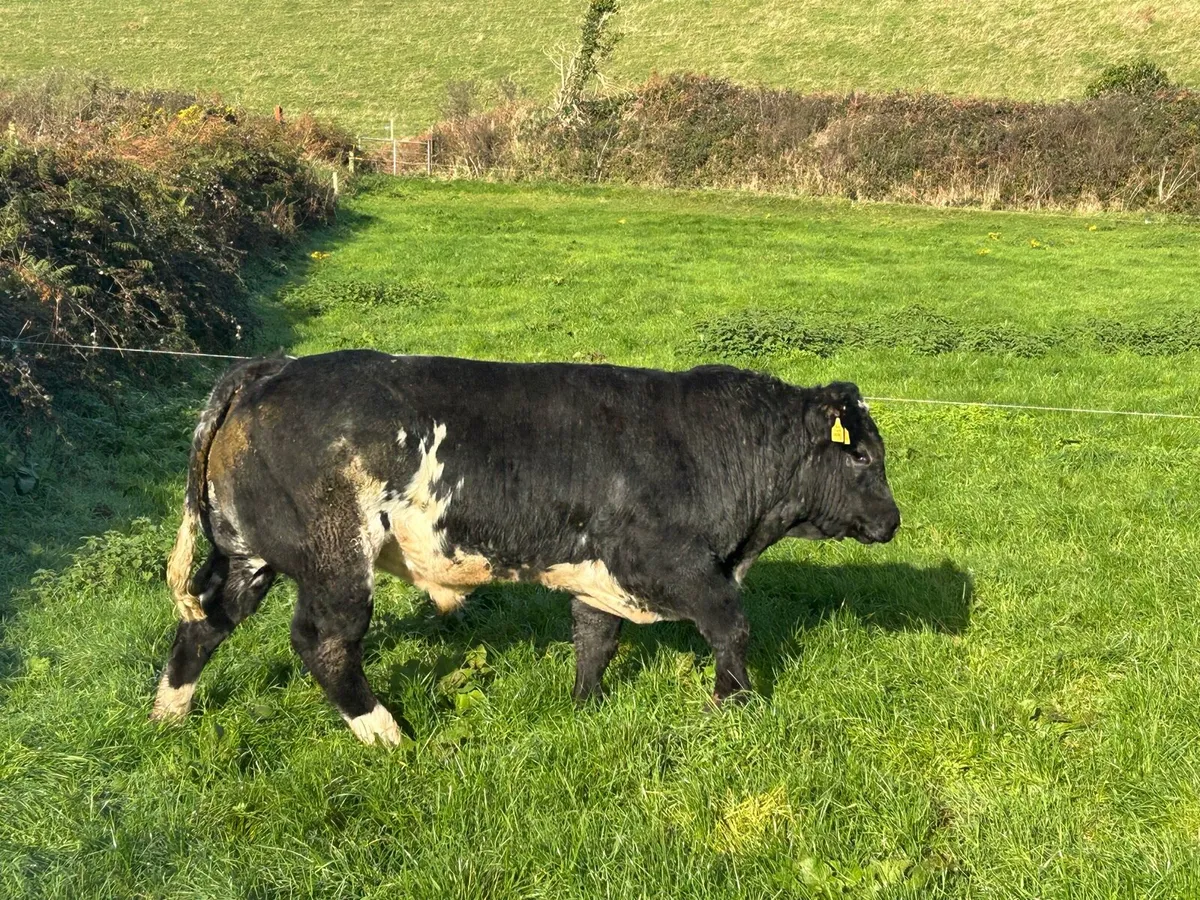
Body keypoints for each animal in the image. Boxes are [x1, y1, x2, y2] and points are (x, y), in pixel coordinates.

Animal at [153, 351, 900, 745]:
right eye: (862, 456)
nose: (892, 519)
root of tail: (269, 371)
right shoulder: (673, 565)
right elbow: (732, 627)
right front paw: (732, 707)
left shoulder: (599, 575)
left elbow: (595, 642)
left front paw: (586, 711)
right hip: (336, 562)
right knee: (324, 642)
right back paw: (386, 733)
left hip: (248, 553)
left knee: (206, 623)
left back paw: (169, 715)